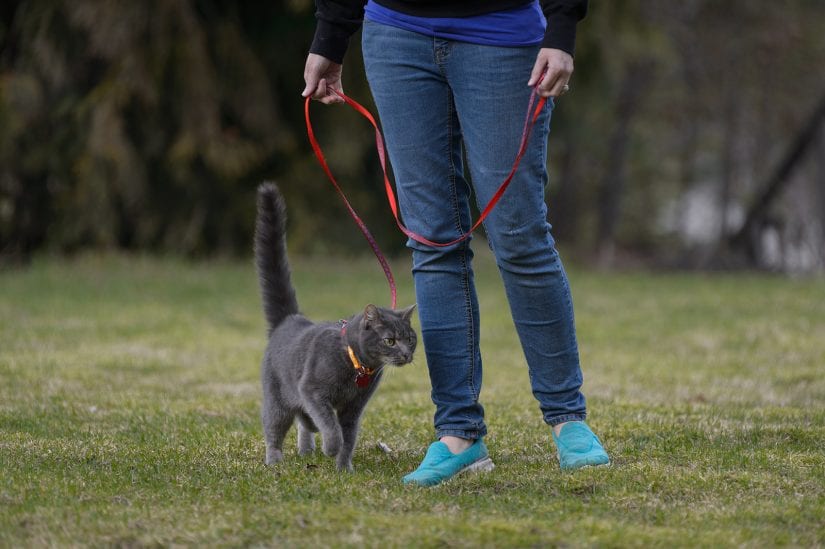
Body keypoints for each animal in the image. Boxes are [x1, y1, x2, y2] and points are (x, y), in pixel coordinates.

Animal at [253, 182, 418, 468]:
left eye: (410, 339)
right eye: (390, 340)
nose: (407, 354)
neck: (358, 368)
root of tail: (291, 319)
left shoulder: (354, 408)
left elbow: (348, 435)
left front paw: (344, 467)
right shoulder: (313, 391)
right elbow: (330, 425)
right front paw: (332, 447)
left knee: (304, 422)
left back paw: (306, 449)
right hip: (278, 397)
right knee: (275, 427)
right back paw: (274, 460)